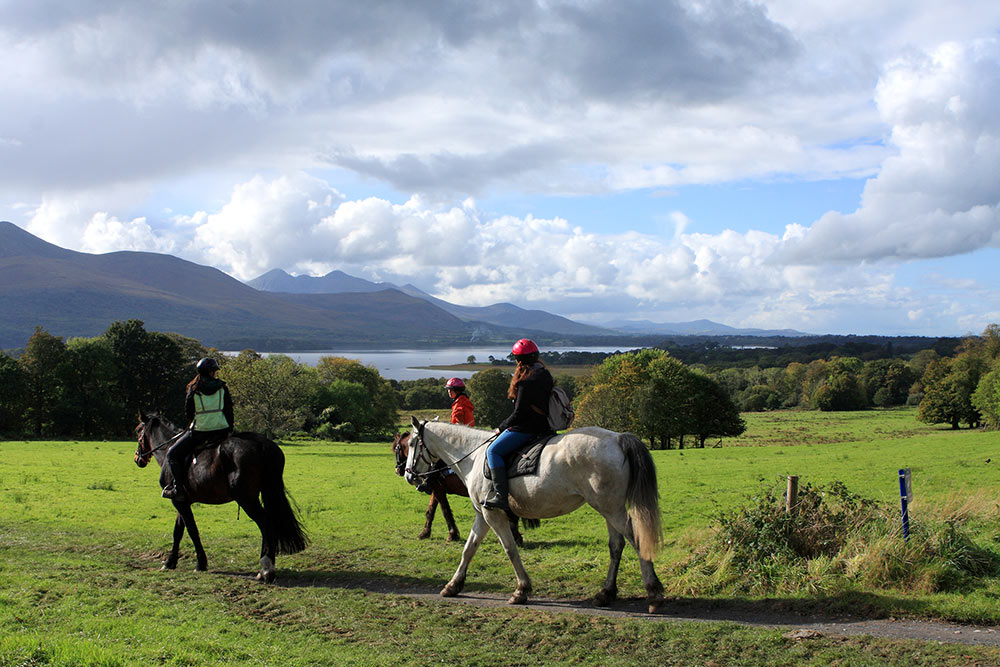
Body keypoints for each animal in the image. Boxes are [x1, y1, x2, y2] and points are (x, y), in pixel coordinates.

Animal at [134, 410, 304, 580]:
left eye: (138, 431)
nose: (137, 458)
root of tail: (263, 445)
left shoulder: (178, 501)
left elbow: (191, 530)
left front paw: (199, 563)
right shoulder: (182, 501)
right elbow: (179, 531)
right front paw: (171, 561)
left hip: (246, 499)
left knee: (265, 523)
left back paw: (266, 568)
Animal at [390, 434, 536, 548]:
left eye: (396, 449)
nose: (398, 469)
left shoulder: (438, 490)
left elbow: (445, 511)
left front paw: (452, 534)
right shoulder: (436, 490)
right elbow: (430, 511)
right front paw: (425, 532)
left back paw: (514, 537)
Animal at [406, 420, 664, 612]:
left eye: (411, 443)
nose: (408, 474)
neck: (474, 456)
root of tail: (617, 438)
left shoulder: (493, 514)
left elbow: (510, 549)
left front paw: (521, 590)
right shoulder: (483, 515)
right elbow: (469, 549)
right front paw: (453, 585)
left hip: (611, 509)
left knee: (635, 540)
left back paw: (653, 592)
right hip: (609, 509)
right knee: (616, 545)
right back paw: (606, 593)